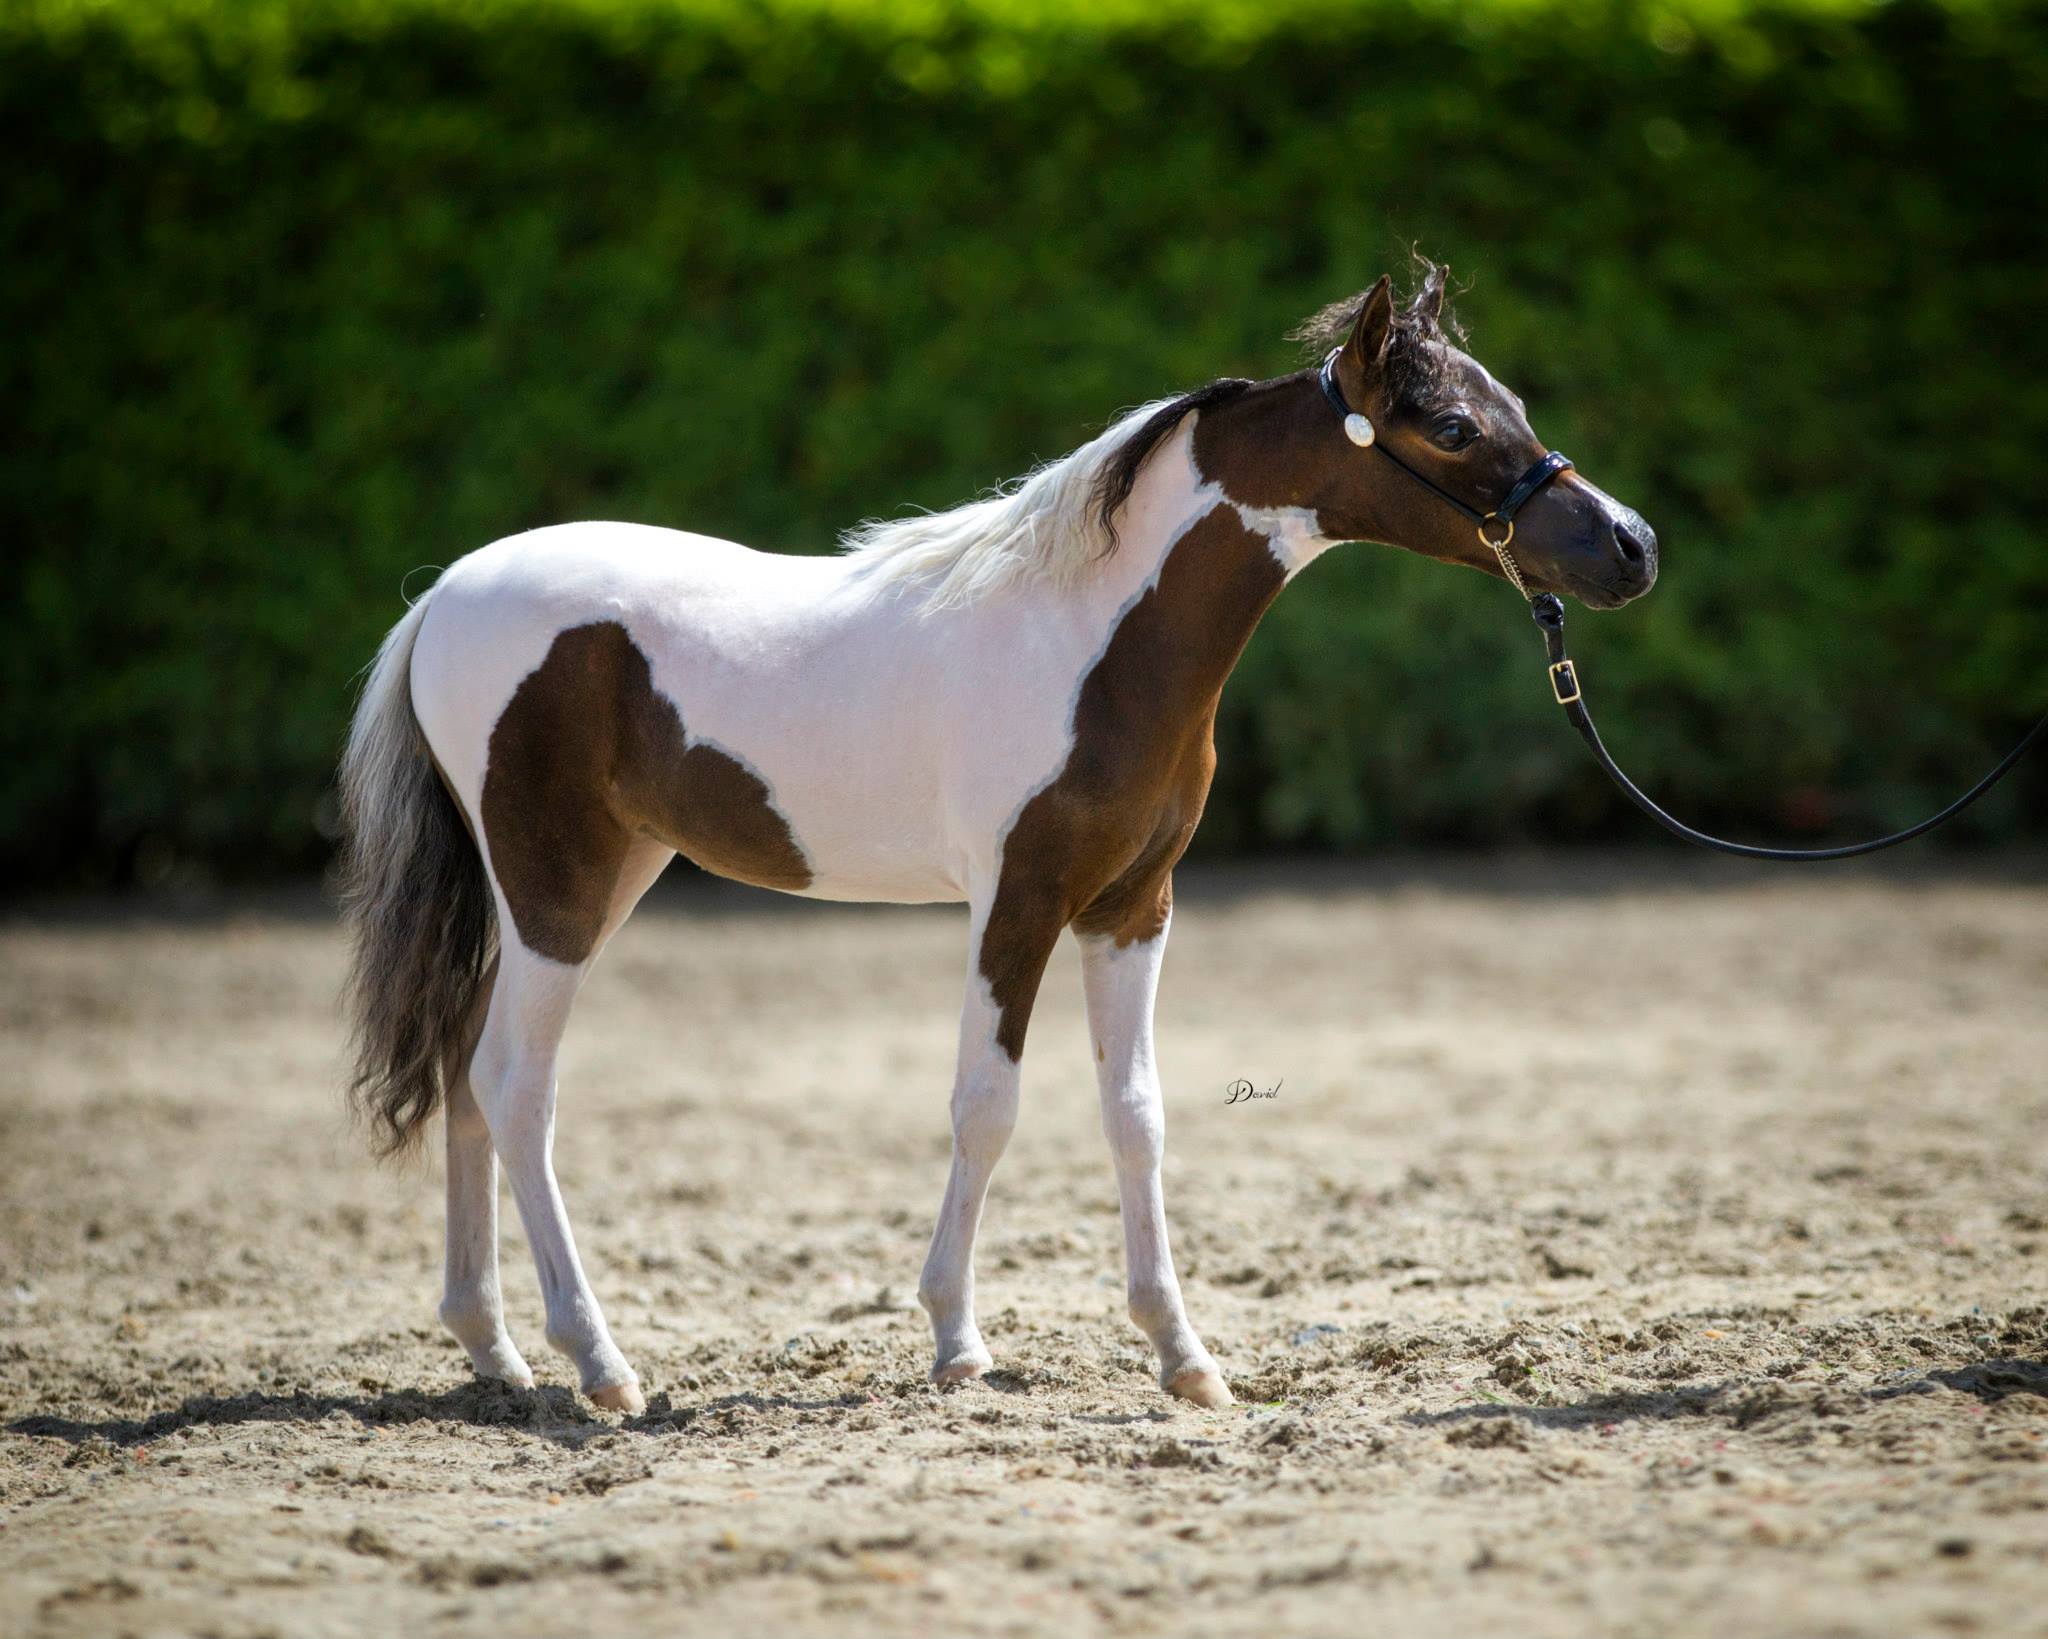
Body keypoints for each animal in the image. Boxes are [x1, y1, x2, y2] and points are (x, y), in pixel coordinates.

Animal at [337, 268, 1658, 1415]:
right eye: (1450, 423)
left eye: (1508, 403)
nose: (1630, 546)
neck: (1087, 641)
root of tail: (443, 594)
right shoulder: (1014, 901)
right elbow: (987, 1104)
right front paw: (957, 1344)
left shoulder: (1131, 907)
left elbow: (1135, 1112)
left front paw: (1184, 1357)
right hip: (553, 889)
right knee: (517, 1088)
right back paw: (600, 1366)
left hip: (600, 878)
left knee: (464, 1071)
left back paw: (494, 1352)